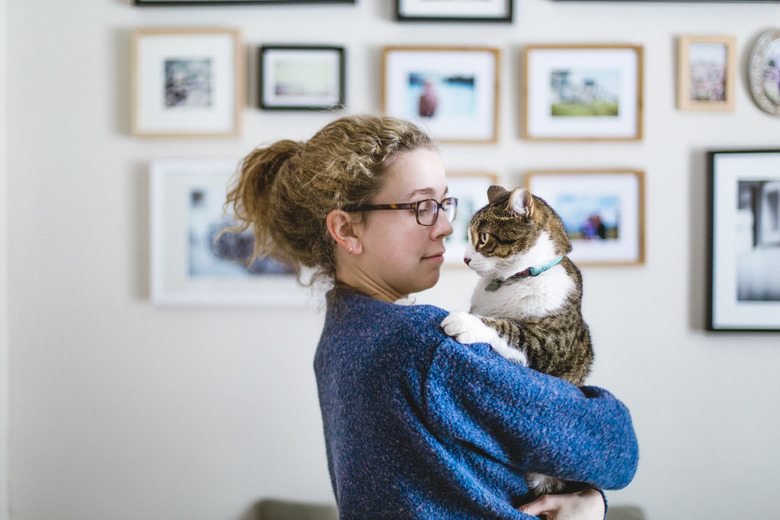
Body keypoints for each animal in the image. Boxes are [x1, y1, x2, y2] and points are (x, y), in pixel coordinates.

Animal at [444, 185, 592, 498]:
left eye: (483, 237)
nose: (465, 258)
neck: (511, 282)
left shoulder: (546, 344)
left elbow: (507, 329)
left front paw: (463, 322)